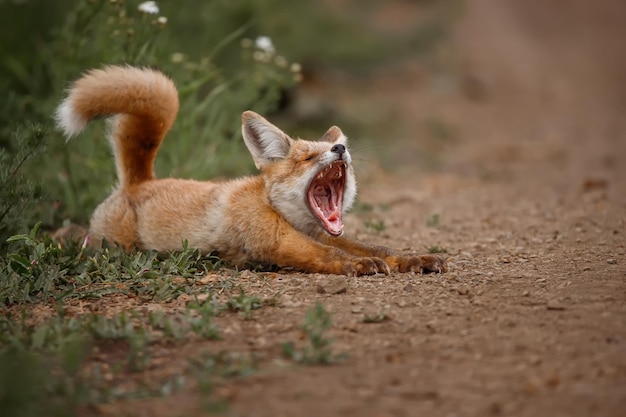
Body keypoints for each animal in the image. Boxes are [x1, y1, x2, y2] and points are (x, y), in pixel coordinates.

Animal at [53, 66, 444, 276]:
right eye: (306, 158)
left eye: (331, 149)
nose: (340, 148)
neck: (284, 214)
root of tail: (139, 182)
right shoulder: (278, 240)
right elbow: (332, 256)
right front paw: (360, 266)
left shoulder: (324, 233)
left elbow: (375, 246)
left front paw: (413, 258)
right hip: (114, 243)